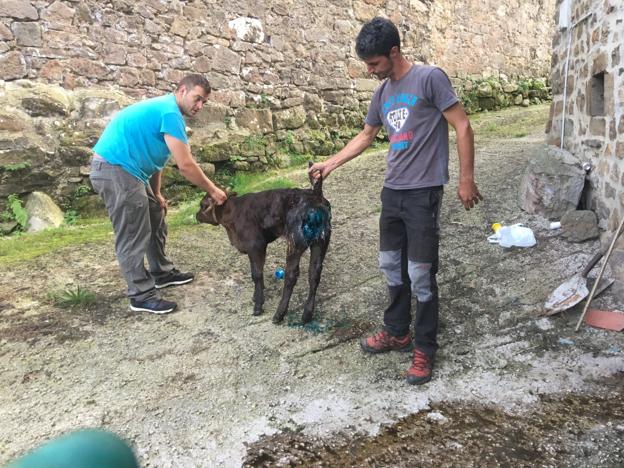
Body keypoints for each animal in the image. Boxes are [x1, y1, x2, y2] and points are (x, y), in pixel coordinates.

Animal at [196, 173, 332, 326]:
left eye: (202, 205)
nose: (196, 215)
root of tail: (315, 195)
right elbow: (258, 271)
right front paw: (256, 296)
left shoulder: (255, 245)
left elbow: (256, 274)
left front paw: (258, 305)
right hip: (321, 241)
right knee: (314, 273)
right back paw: (307, 314)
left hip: (295, 242)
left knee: (291, 275)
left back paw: (279, 314)